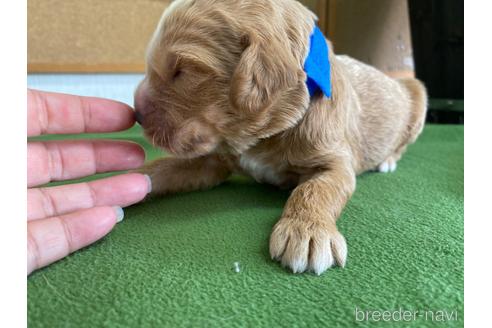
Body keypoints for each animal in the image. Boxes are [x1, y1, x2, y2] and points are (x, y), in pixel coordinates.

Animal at [135, 0, 426, 274]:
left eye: (182, 71)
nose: (137, 113)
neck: (264, 135)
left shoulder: (334, 161)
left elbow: (315, 189)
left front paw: (308, 232)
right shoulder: (212, 160)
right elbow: (165, 167)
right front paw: (132, 179)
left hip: (418, 94)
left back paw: (387, 161)